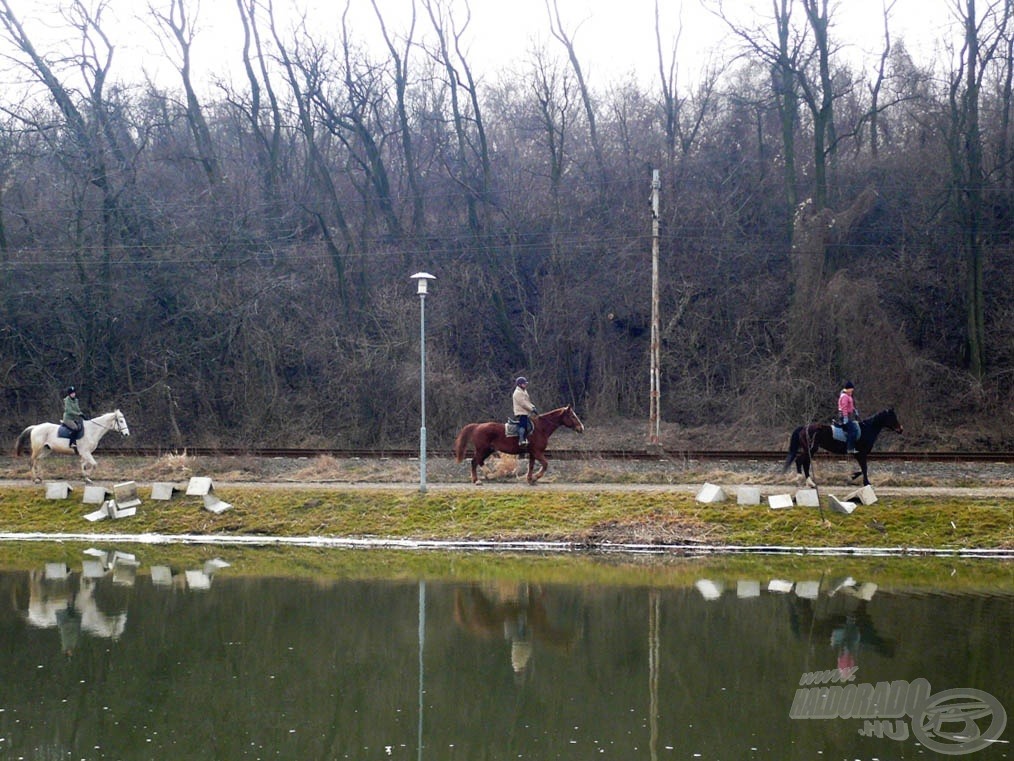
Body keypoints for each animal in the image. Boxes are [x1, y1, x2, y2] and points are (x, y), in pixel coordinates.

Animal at [454, 407, 588, 485]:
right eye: (572, 416)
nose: (581, 428)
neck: (541, 428)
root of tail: (477, 426)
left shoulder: (533, 453)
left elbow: (531, 466)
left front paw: (530, 479)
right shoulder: (538, 452)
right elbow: (545, 464)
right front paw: (535, 477)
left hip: (487, 450)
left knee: (479, 461)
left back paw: (488, 474)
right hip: (482, 449)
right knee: (474, 461)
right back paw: (477, 480)